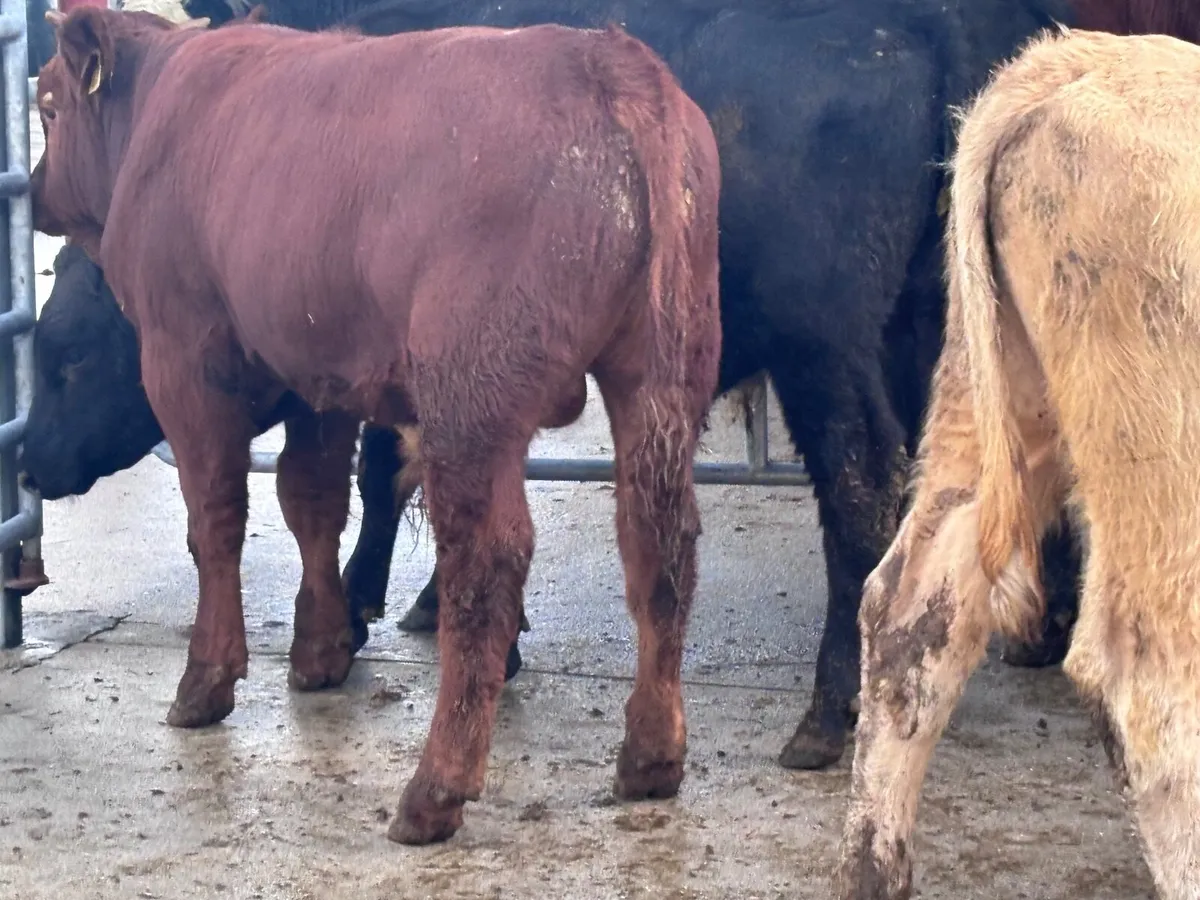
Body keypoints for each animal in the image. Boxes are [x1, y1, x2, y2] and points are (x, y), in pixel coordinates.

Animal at [30, 7, 723, 842]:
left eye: (46, 107)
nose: (30, 193)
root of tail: (615, 67)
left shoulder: (183, 360)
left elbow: (216, 520)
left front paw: (206, 679)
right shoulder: (319, 370)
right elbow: (313, 502)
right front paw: (321, 648)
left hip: (471, 402)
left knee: (486, 568)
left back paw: (436, 789)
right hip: (661, 373)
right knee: (659, 541)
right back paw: (652, 756)